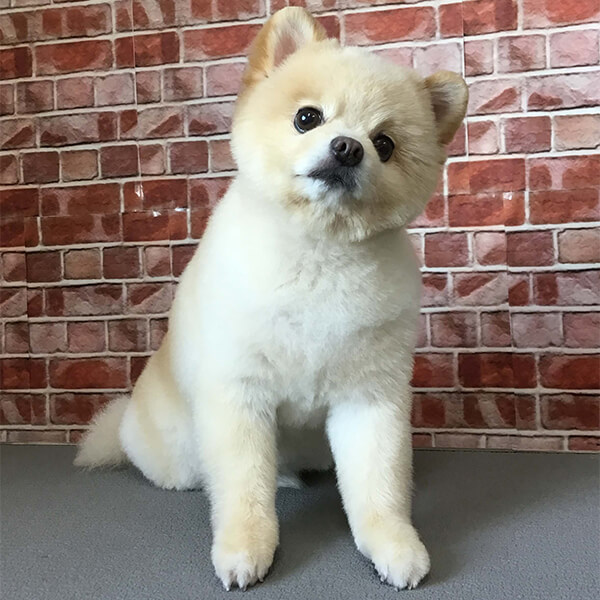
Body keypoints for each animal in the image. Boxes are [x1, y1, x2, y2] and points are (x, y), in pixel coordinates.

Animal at [76, 7, 468, 591]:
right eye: (307, 118)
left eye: (385, 144)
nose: (348, 146)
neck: (320, 253)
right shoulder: (239, 393)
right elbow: (243, 488)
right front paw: (245, 548)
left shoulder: (370, 400)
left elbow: (378, 487)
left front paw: (393, 544)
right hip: (173, 451)